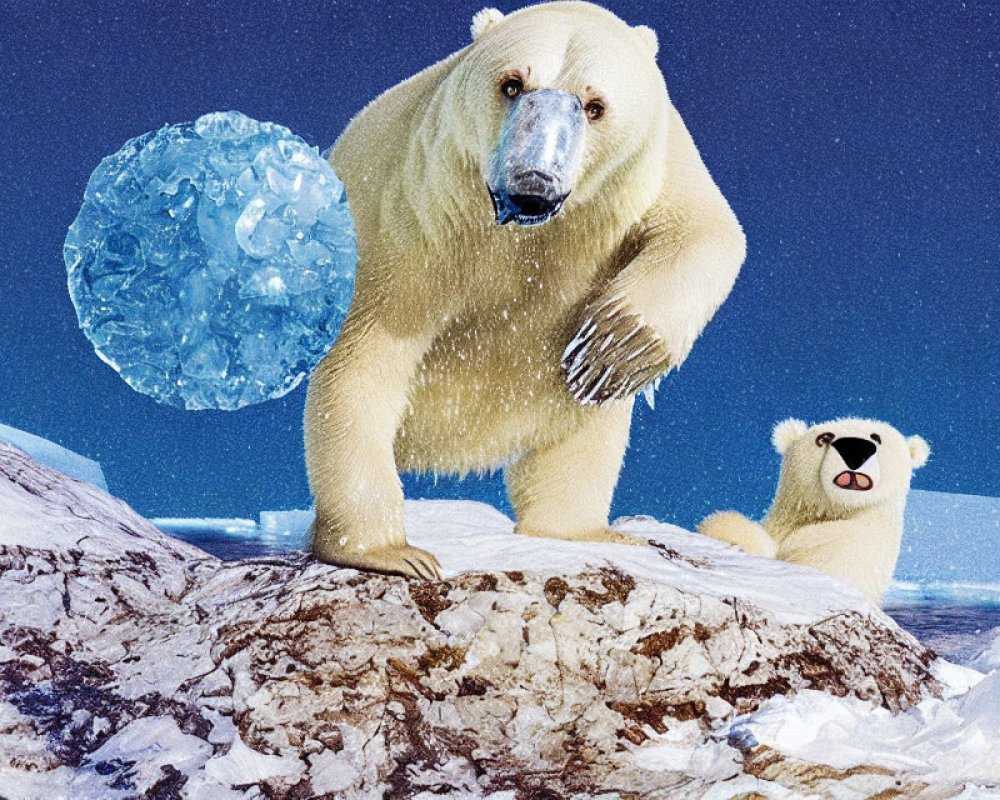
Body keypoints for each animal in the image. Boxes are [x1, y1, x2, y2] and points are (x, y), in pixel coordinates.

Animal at [308, 0, 748, 576]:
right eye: (513, 84)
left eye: (595, 106)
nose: (533, 182)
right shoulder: (419, 210)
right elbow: (369, 349)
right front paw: (392, 553)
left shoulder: (649, 168)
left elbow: (705, 232)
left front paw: (615, 344)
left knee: (582, 432)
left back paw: (580, 531)